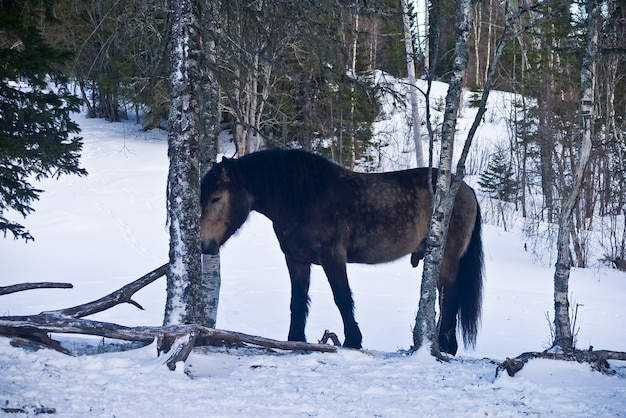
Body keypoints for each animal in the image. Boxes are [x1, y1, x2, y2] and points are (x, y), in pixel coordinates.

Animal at [200, 149, 482, 354]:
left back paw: (447, 346)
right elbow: (298, 300)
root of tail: (465, 189)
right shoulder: (296, 259)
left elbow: (342, 298)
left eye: (216, 198)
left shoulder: (332, 257)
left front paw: (353, 341)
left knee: (449, 296)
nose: (205, 244)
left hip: (447, 258)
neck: (305, 199)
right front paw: (295, 339)